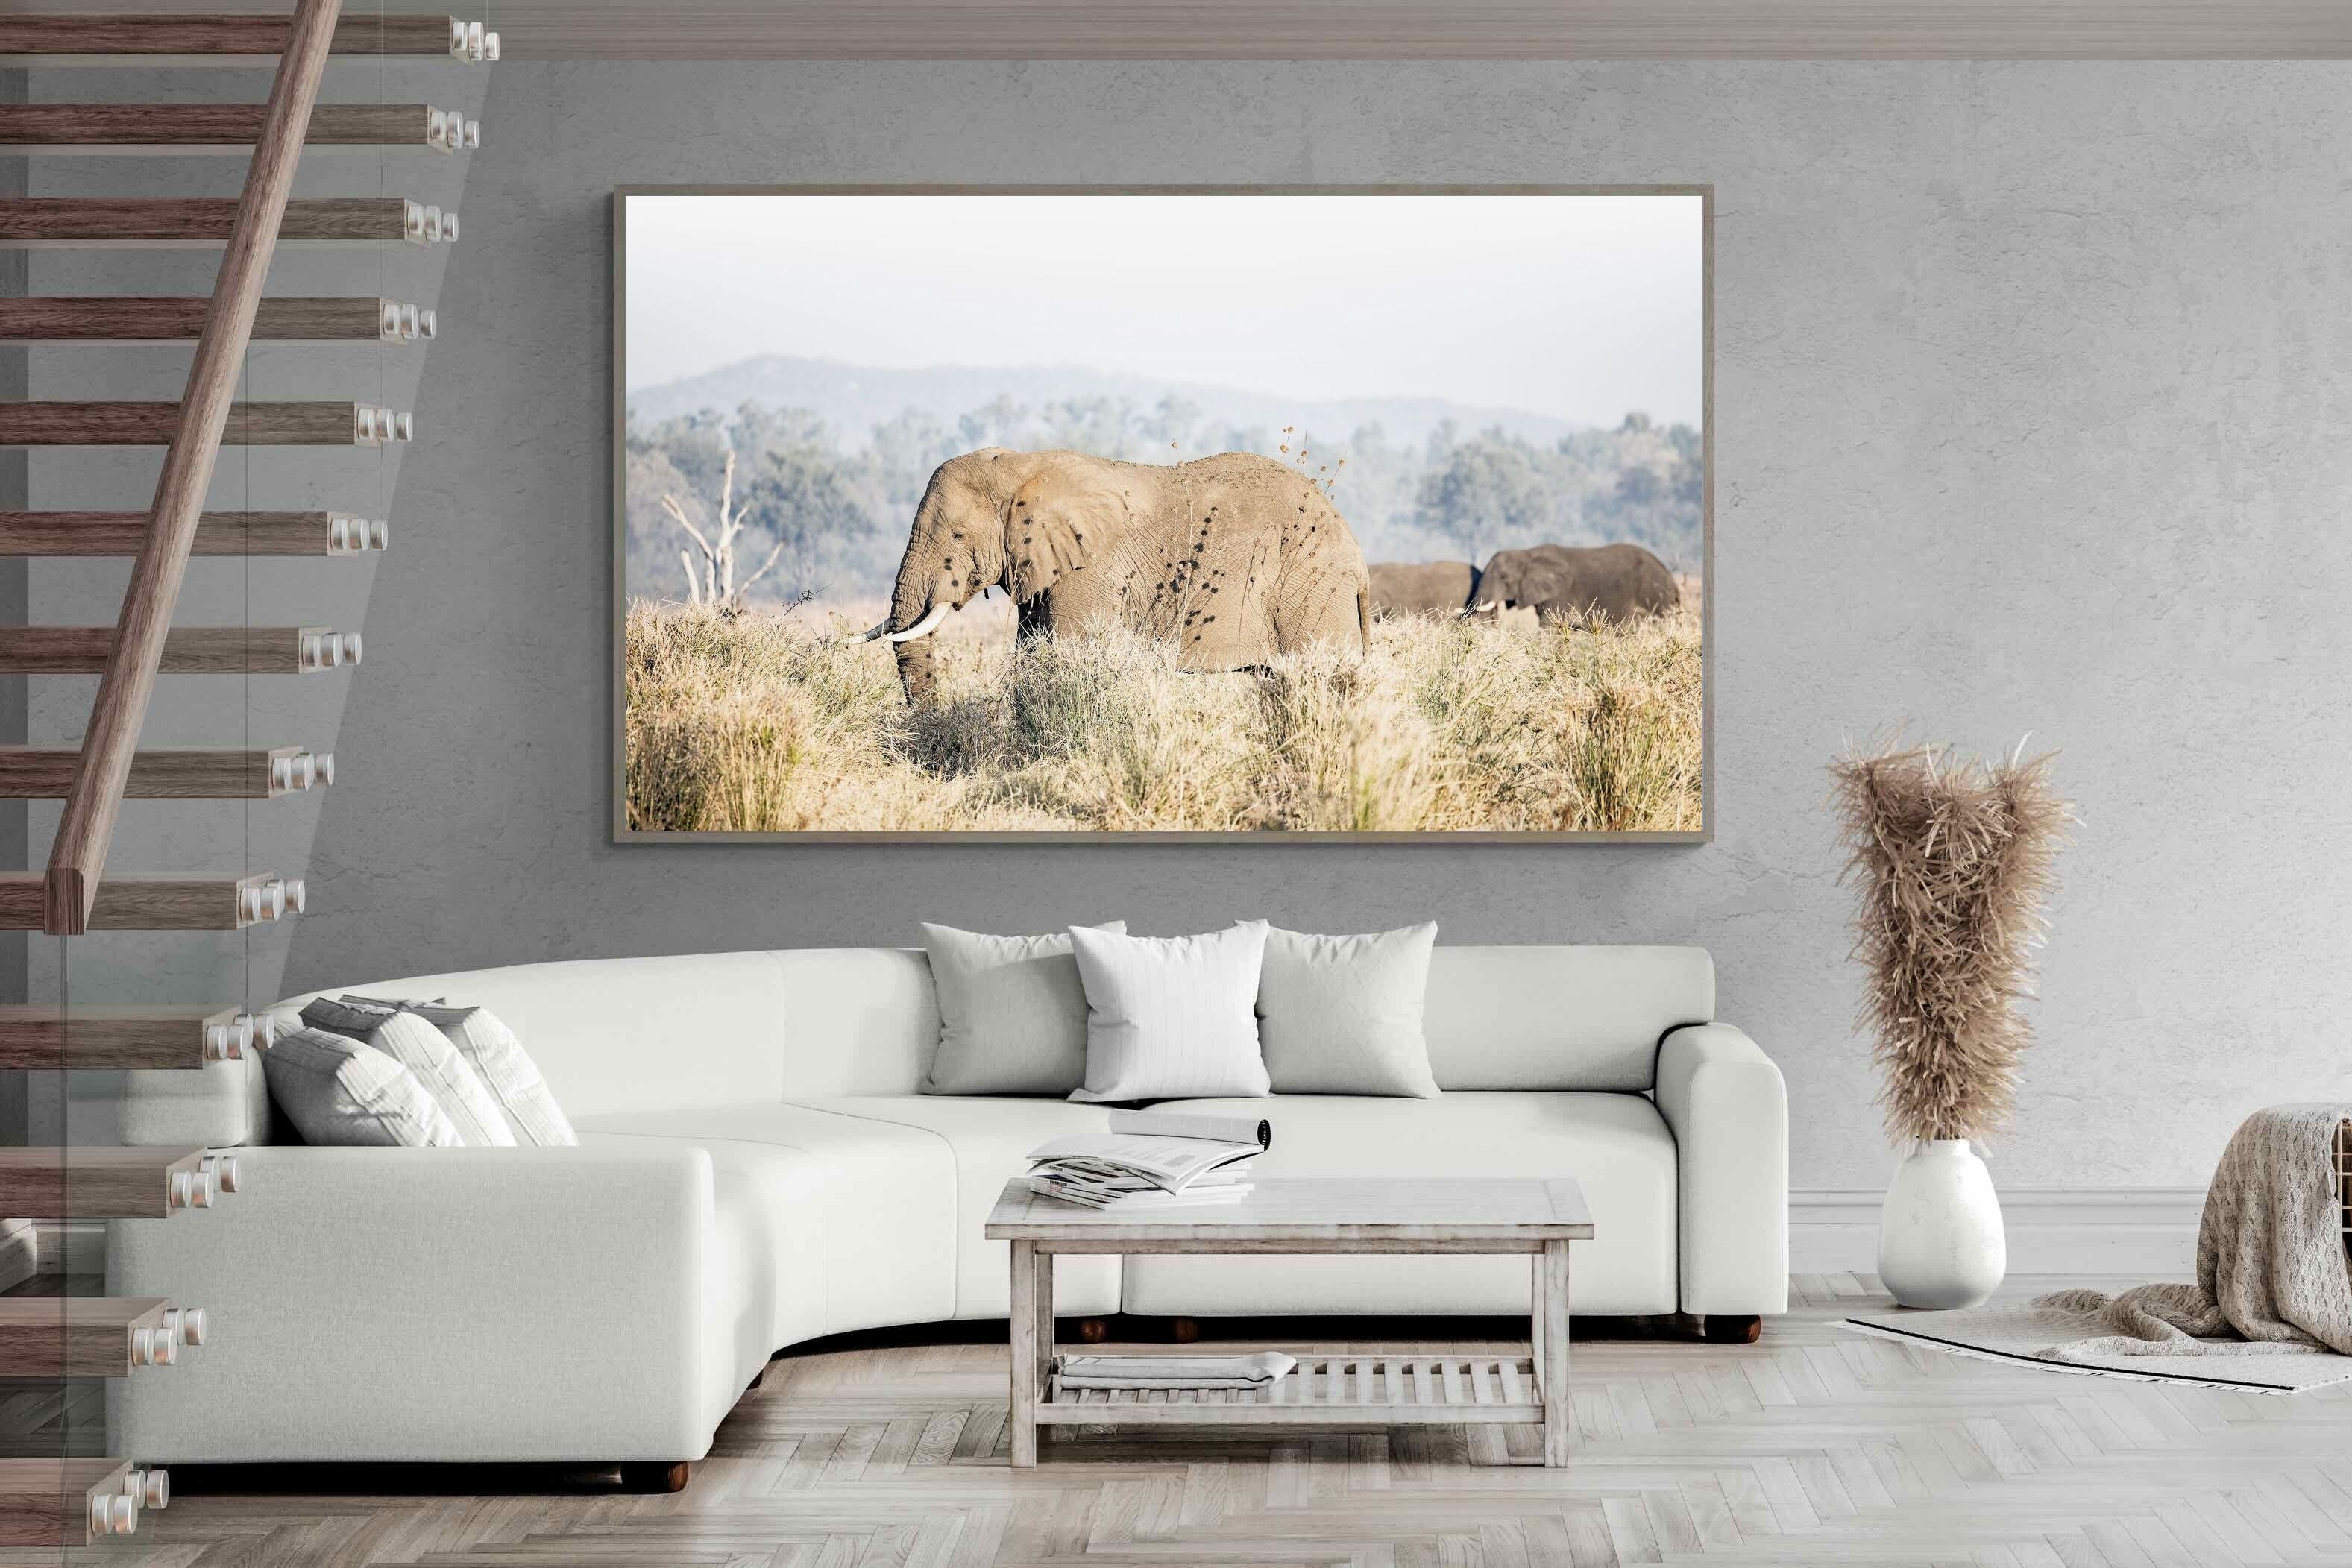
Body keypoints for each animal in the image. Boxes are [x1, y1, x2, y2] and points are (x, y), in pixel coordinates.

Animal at [866, 448, 1370, 701]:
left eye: (957, 534)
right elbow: (1032, 654)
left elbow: (1065, 654)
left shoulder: (1091, 569)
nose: (930, 737)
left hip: (1310, 587)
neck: (1022, 464)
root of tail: (1357, 557)